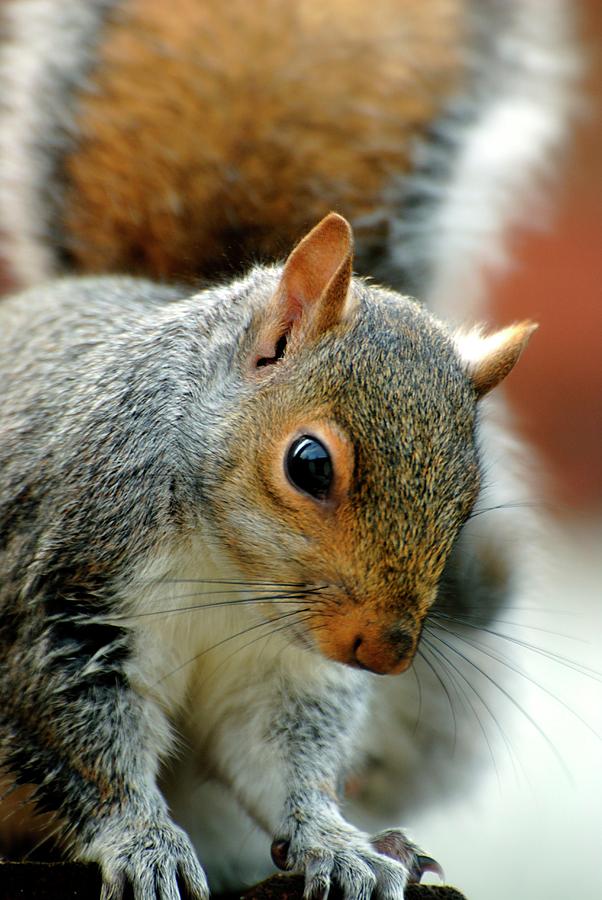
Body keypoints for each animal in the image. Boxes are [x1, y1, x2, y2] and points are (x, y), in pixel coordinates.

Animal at [0, 1, 572, 900]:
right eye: (309, 464)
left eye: (469, 501)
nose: (386, 653)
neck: (231, 576)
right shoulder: (65, 592)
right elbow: (82, 748)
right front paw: (143, 843)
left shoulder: (284, 672)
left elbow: (280, 760)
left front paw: (335, 840)